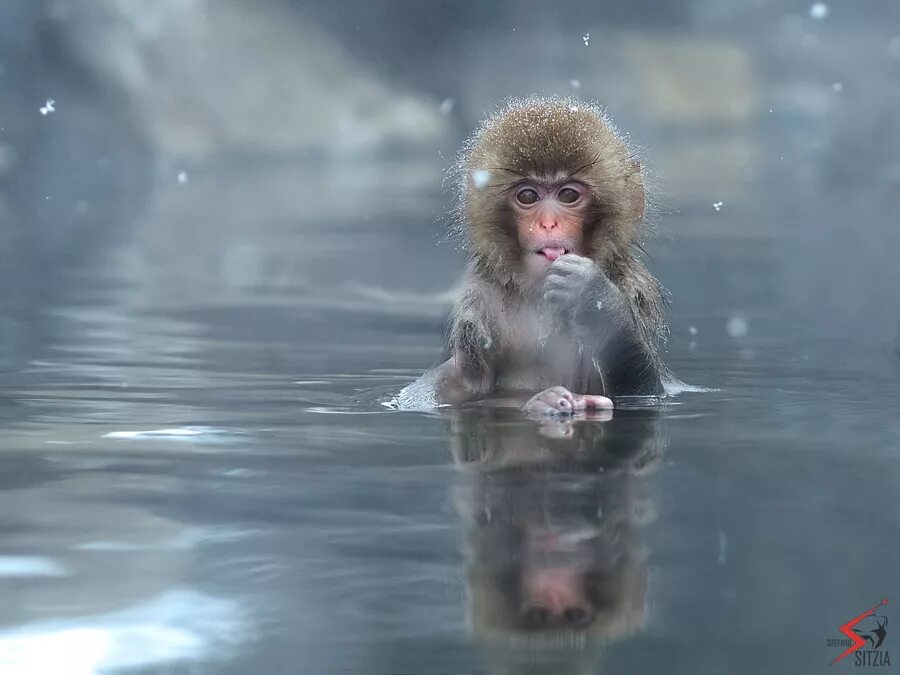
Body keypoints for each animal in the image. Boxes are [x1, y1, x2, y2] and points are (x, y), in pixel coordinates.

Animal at [400, 97, 668, 414]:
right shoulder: (477, 306)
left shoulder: (632, 289)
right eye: (527, 196)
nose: (548, 223)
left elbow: (646, 392)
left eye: (567, 195)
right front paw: (546, 401)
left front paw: (595, 298)